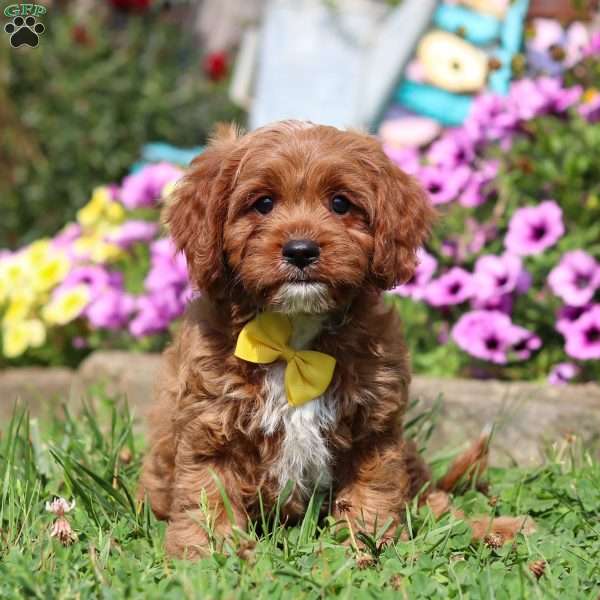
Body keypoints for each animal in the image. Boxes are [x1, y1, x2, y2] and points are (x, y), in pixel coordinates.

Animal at [139, 120, 528, 556]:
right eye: (263, 203)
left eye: (341, 204)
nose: (301, 250)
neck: (294, 333)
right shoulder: (210, 423)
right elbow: (207, 494)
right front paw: (206, 552)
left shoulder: (374, 427)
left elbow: (371, 492)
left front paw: (365, 544)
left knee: (435, 504)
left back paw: (498, 528)